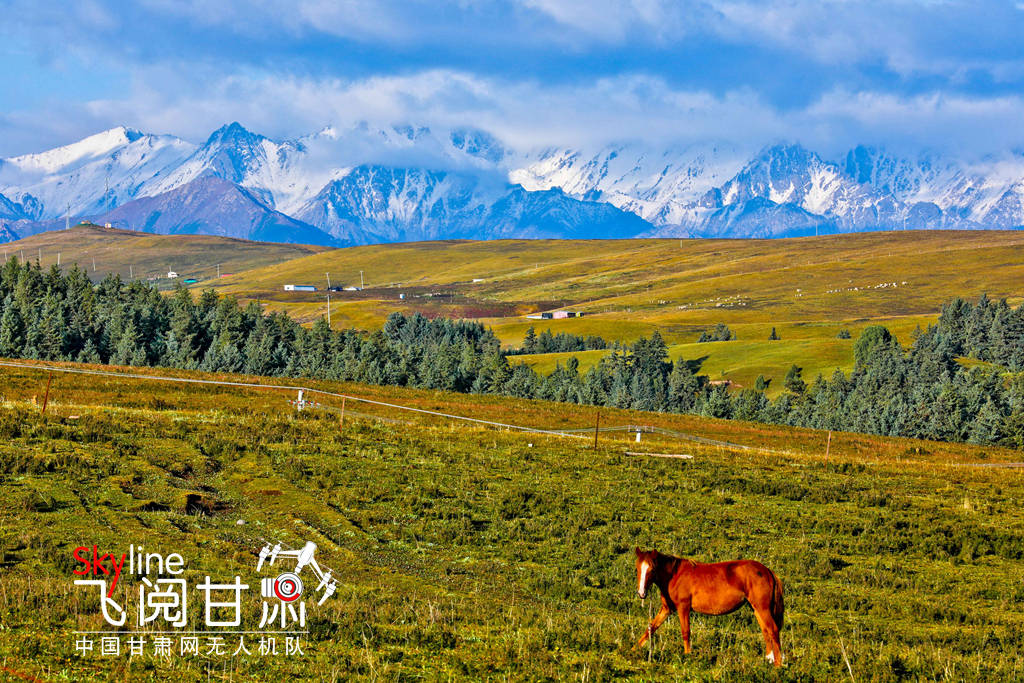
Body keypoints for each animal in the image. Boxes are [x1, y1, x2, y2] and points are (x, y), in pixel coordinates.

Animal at [630, 548, 782, 667]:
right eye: (637, 569)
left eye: (652, 569)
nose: (641, 593)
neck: (674, 575)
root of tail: (767, 571)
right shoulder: (667, 609)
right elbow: (651, 628)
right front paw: (633, 649)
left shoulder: (683, 608)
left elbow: (686, 632)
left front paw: (688, 656)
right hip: (756, 608)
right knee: (765, 631)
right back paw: (768, 660)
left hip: (762, 608)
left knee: (773, 630)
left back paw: (778, 665)